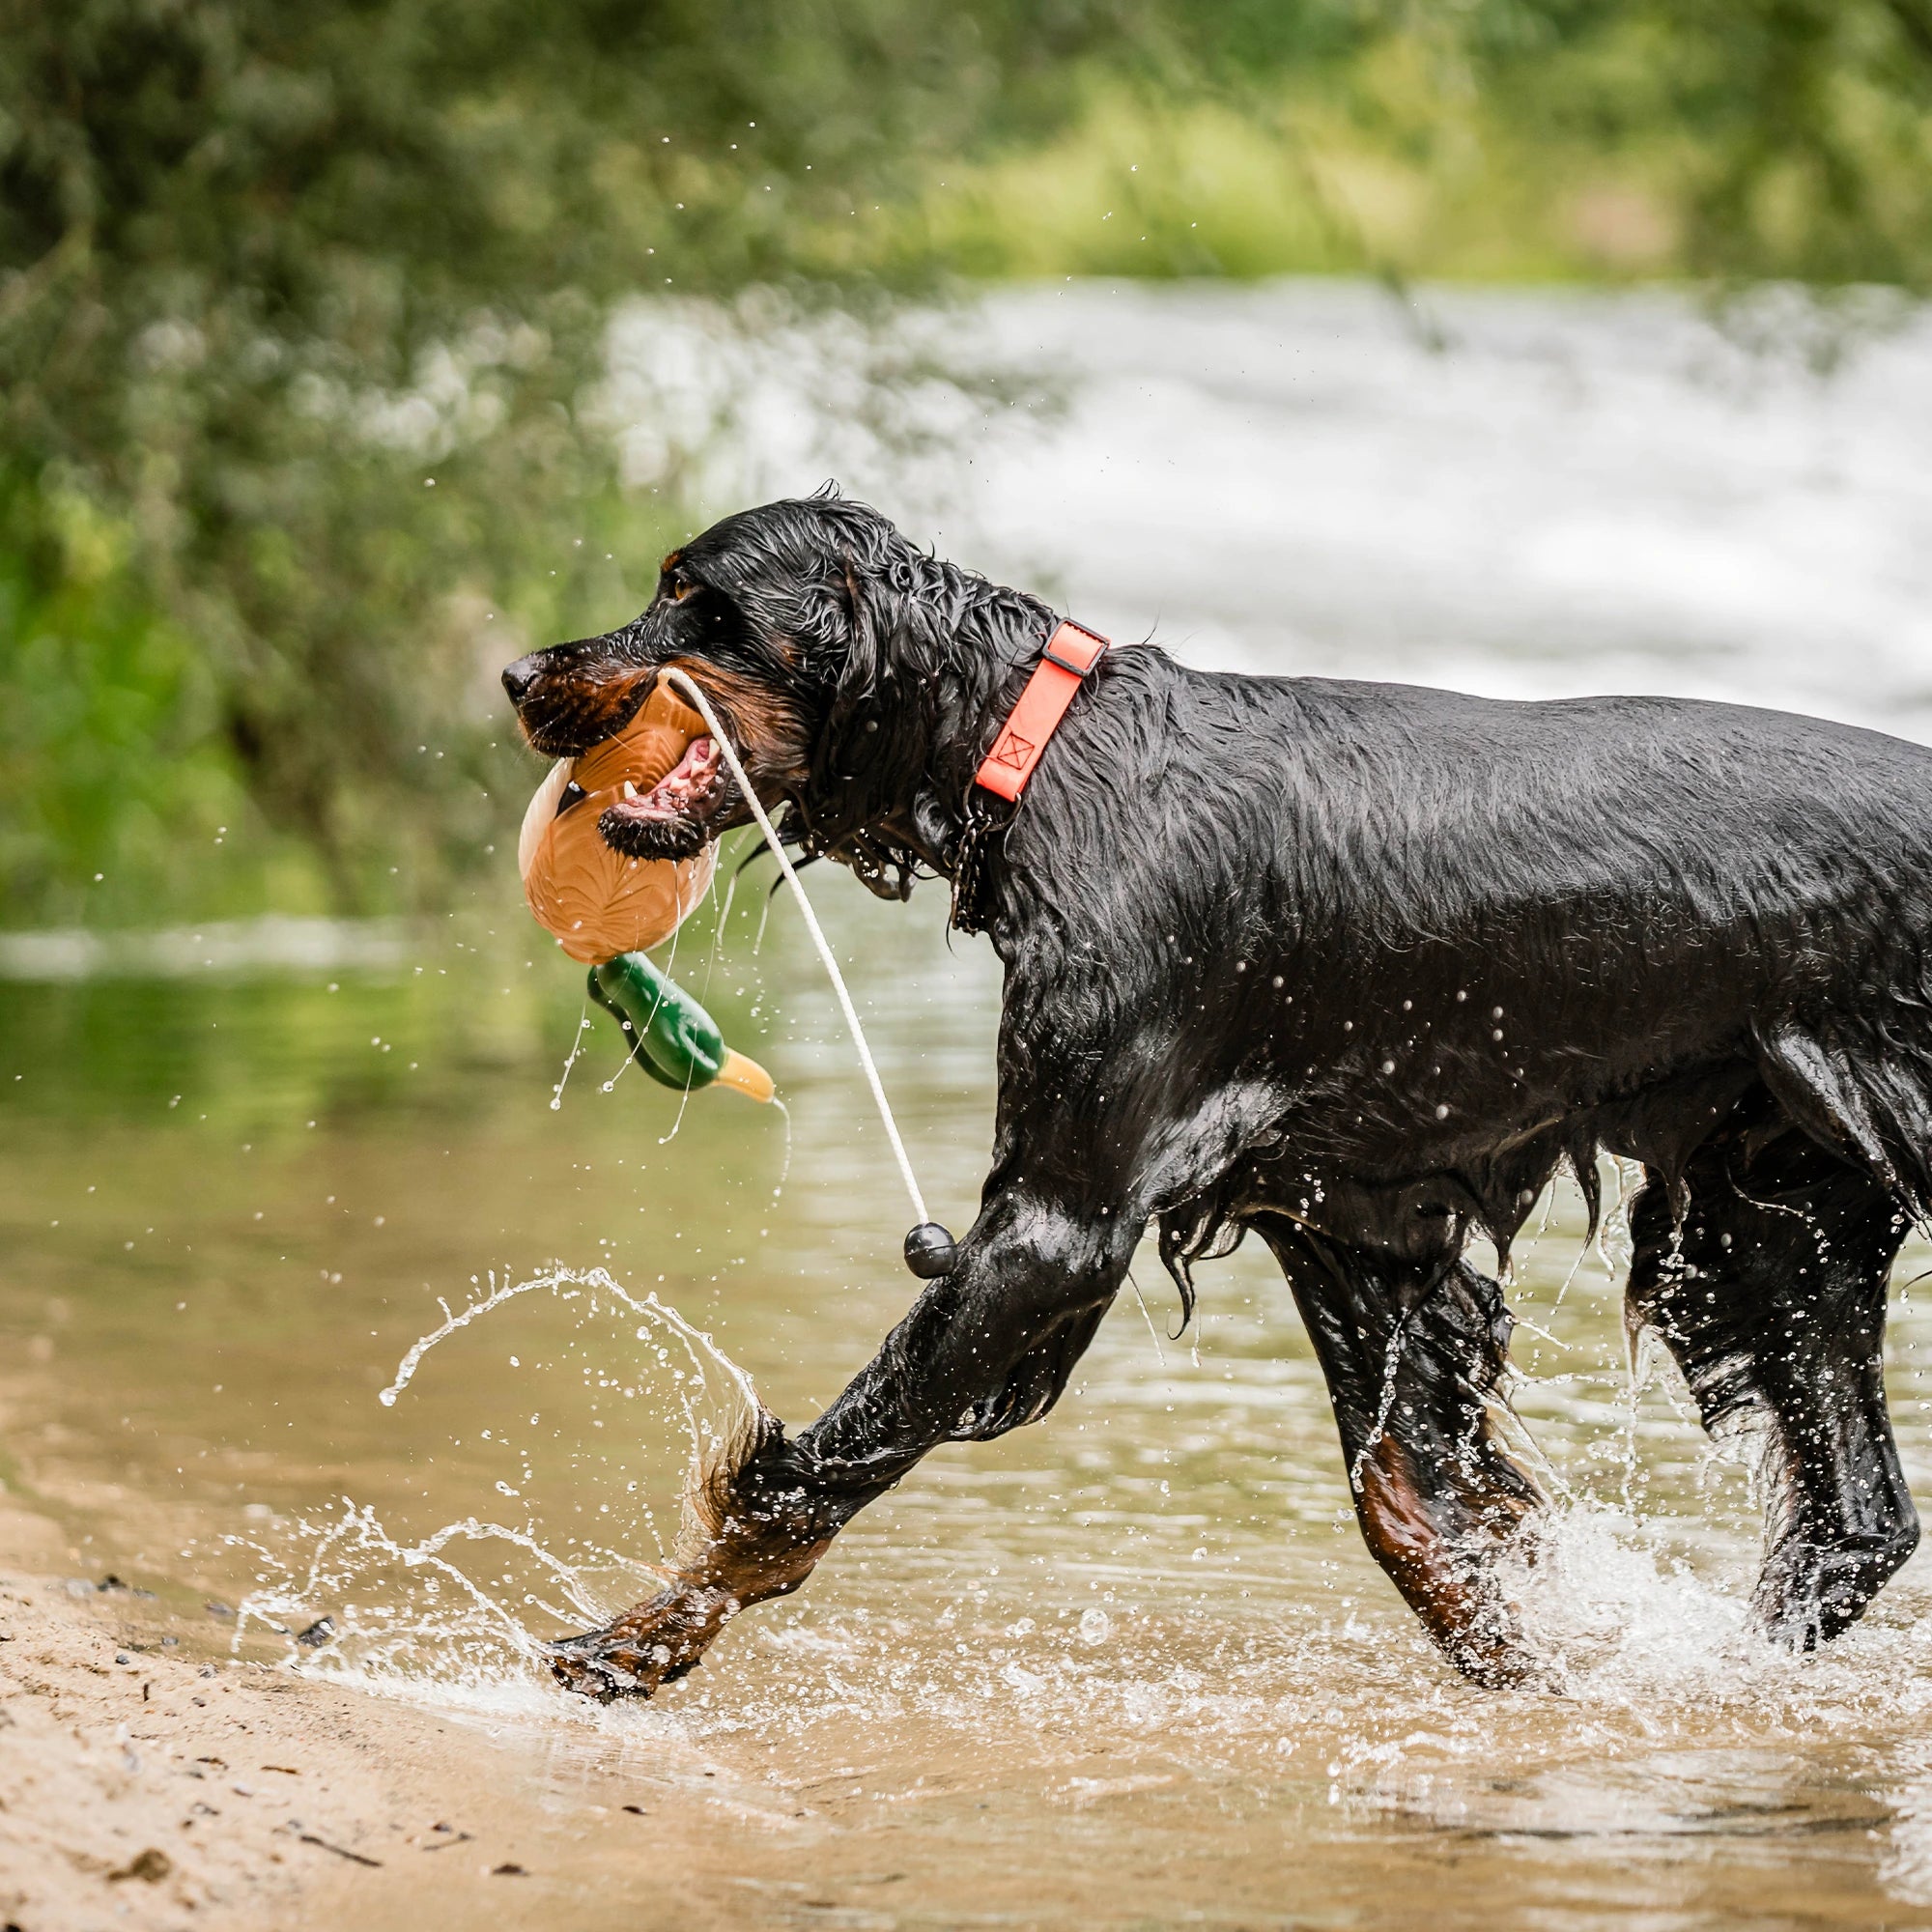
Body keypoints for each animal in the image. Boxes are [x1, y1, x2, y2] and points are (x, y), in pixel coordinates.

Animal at [502, 491, 1932, 1700]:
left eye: (696, 596)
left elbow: (809, 1475)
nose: (518, 675)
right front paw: (1533, 1681)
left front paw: (635, 1644)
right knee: (1861, 1519)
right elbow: (1408, 1502)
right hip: (1771, 1212)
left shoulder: (1055, 1227)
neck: (1043, 756)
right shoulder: (1352, 1212)